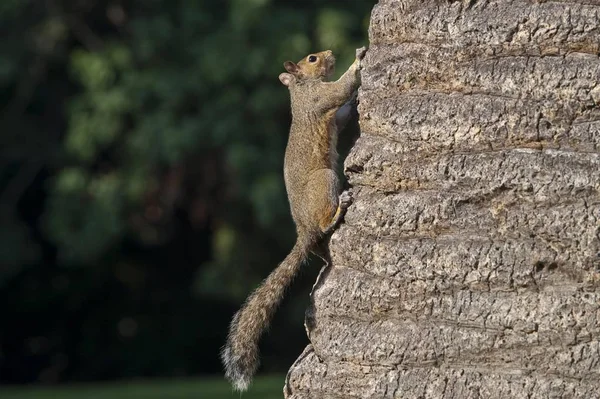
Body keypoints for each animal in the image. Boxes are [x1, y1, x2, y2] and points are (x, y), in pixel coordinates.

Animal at [223, 46, 368, 390]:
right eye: (312, 59)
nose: (330, 52)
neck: (300, 89)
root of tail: (303, 231)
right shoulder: (319, 98)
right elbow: (340, 89)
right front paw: (358, 60)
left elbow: (342, 115)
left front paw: (357, 101)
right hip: (326, 180)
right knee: (326, 219)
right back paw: (338, 209)